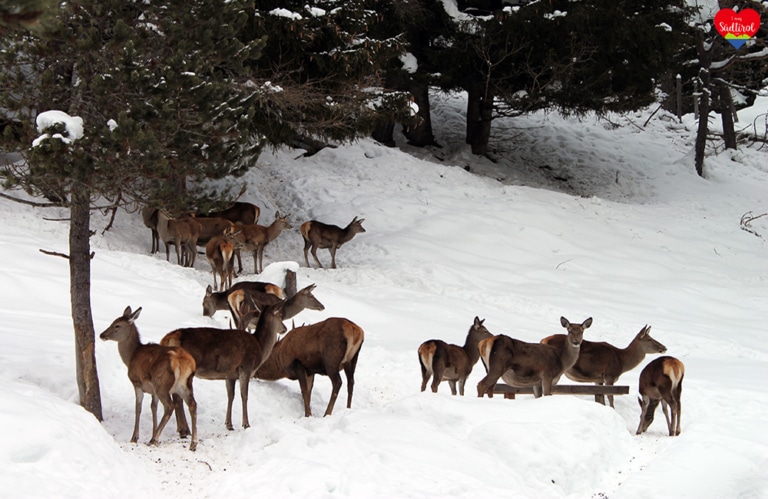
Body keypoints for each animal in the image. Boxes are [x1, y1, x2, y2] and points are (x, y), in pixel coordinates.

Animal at [99, 306, 200, 452]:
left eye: (117, 325)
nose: (102, 335)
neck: (131, 357)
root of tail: (184, 361)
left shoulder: (136, 382)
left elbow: (138, 407)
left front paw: (134, 437)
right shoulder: (152, 391)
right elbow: (153, 407)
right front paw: (153, 431)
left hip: (162, 383)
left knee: (170, 406)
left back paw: (154, 439)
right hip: (184, 384)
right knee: (193, 404)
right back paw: (193, 443)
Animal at [160, 302, 286, 432]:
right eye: (280, 315)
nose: (284, 328)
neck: (260, 346)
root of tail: (167, 338)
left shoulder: (230, 374)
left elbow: (230, 396)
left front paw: (228, 424)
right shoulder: (246, 368)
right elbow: (244, 396)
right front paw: (246, 424)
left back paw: (183, 429)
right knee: (178, 397)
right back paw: (184, 429)